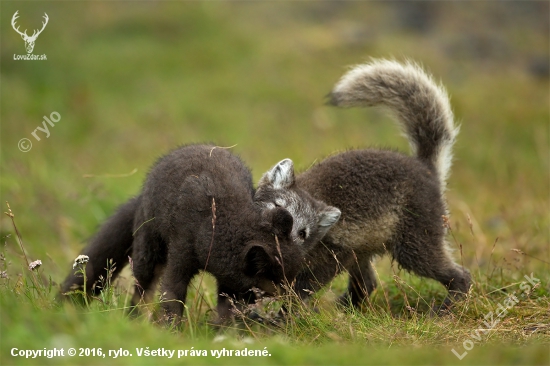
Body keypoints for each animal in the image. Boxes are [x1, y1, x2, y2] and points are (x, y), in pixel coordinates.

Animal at [61, 144, 340, 322]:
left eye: (303, 233)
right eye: (272, 287)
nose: (294, 303)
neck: (217, 227)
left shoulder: (231, 283)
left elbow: (225, 309)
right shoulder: (181, 255)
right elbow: (172, 297)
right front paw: (171, 332)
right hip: (148, 248)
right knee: (141, 287)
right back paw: (133, 319)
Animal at [256, 60, 472, 308]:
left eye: (303, 233)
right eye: (278, 206)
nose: (279, 243)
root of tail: (424, 167)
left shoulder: (331, 252)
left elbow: (304, 285)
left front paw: (289, 308)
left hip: (417, 234)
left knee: (449, 269)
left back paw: (448, 305)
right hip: (364, 247)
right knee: (368, 282)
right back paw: (344, 308)